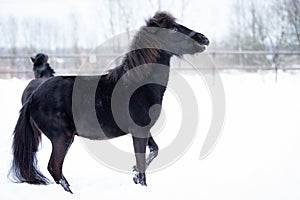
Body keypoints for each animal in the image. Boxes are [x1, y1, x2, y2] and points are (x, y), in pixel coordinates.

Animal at [11, 11, 209, 194]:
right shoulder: (138, 131)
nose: (204, 39)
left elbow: (155, 150)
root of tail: (33, 96)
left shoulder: (144, 130)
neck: (138, 84)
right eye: (174, 29)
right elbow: (143, 163)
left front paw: (134, 174)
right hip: (62, 138)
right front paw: (140, 182)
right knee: (54, 168)